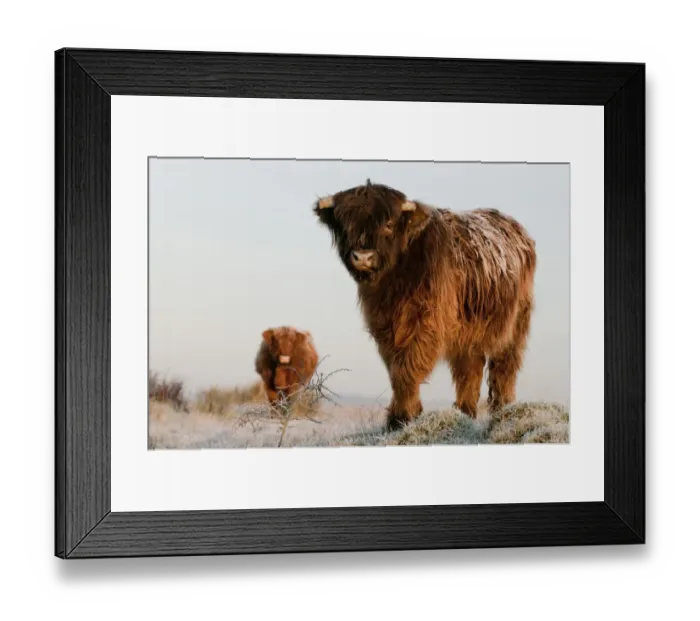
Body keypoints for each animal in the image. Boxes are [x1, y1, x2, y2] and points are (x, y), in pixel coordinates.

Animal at [313, 179, 536, 431]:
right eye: (346, 225)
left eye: (388, 224)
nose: (363, 256)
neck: (395, 279)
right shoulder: (384, 327)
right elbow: (396, 368)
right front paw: (405, 414)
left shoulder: (426, 322)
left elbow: (408, 367)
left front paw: (401, 416)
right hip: (469, 331)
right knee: (469, 369)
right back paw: (465, 413)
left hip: (515, 323)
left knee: (504, 367)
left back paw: (503, 410)